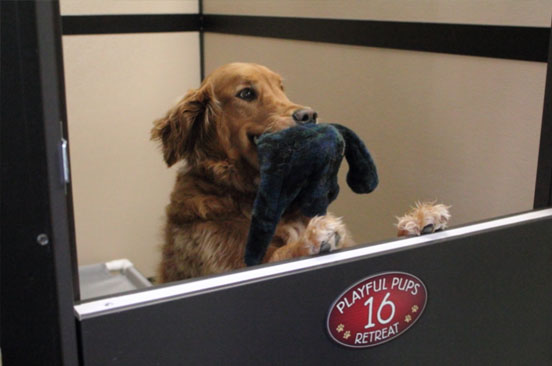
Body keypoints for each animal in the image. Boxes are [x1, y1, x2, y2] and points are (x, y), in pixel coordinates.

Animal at [152, 63, 448, 282]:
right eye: (246, 93)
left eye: (281, 88)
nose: (309, 115)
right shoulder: (229, 265)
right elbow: (281, 254)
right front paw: (311, 239)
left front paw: (418, 219)